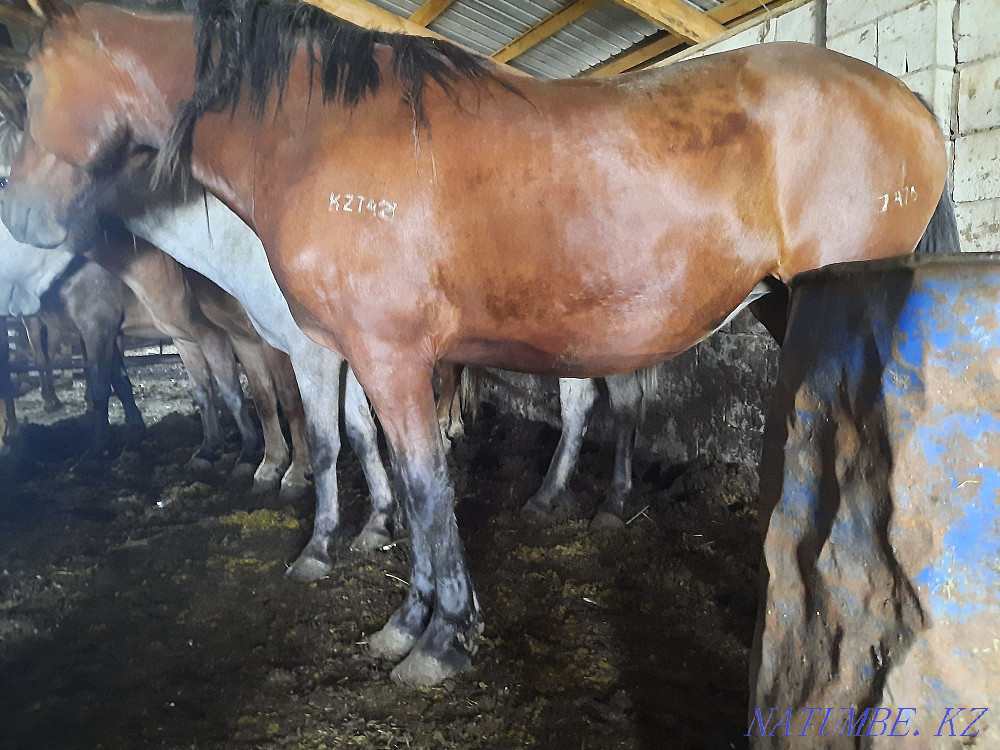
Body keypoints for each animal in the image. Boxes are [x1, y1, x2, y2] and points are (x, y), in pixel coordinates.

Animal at [0, 1, 958, 687]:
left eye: (28, 80)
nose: (26, 223)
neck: (317, 135)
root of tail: (910, 103)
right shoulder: (366, 358)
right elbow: (392, 471)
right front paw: (404, 620)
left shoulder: (384, 356)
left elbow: (424, 486)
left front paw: (442, 639)